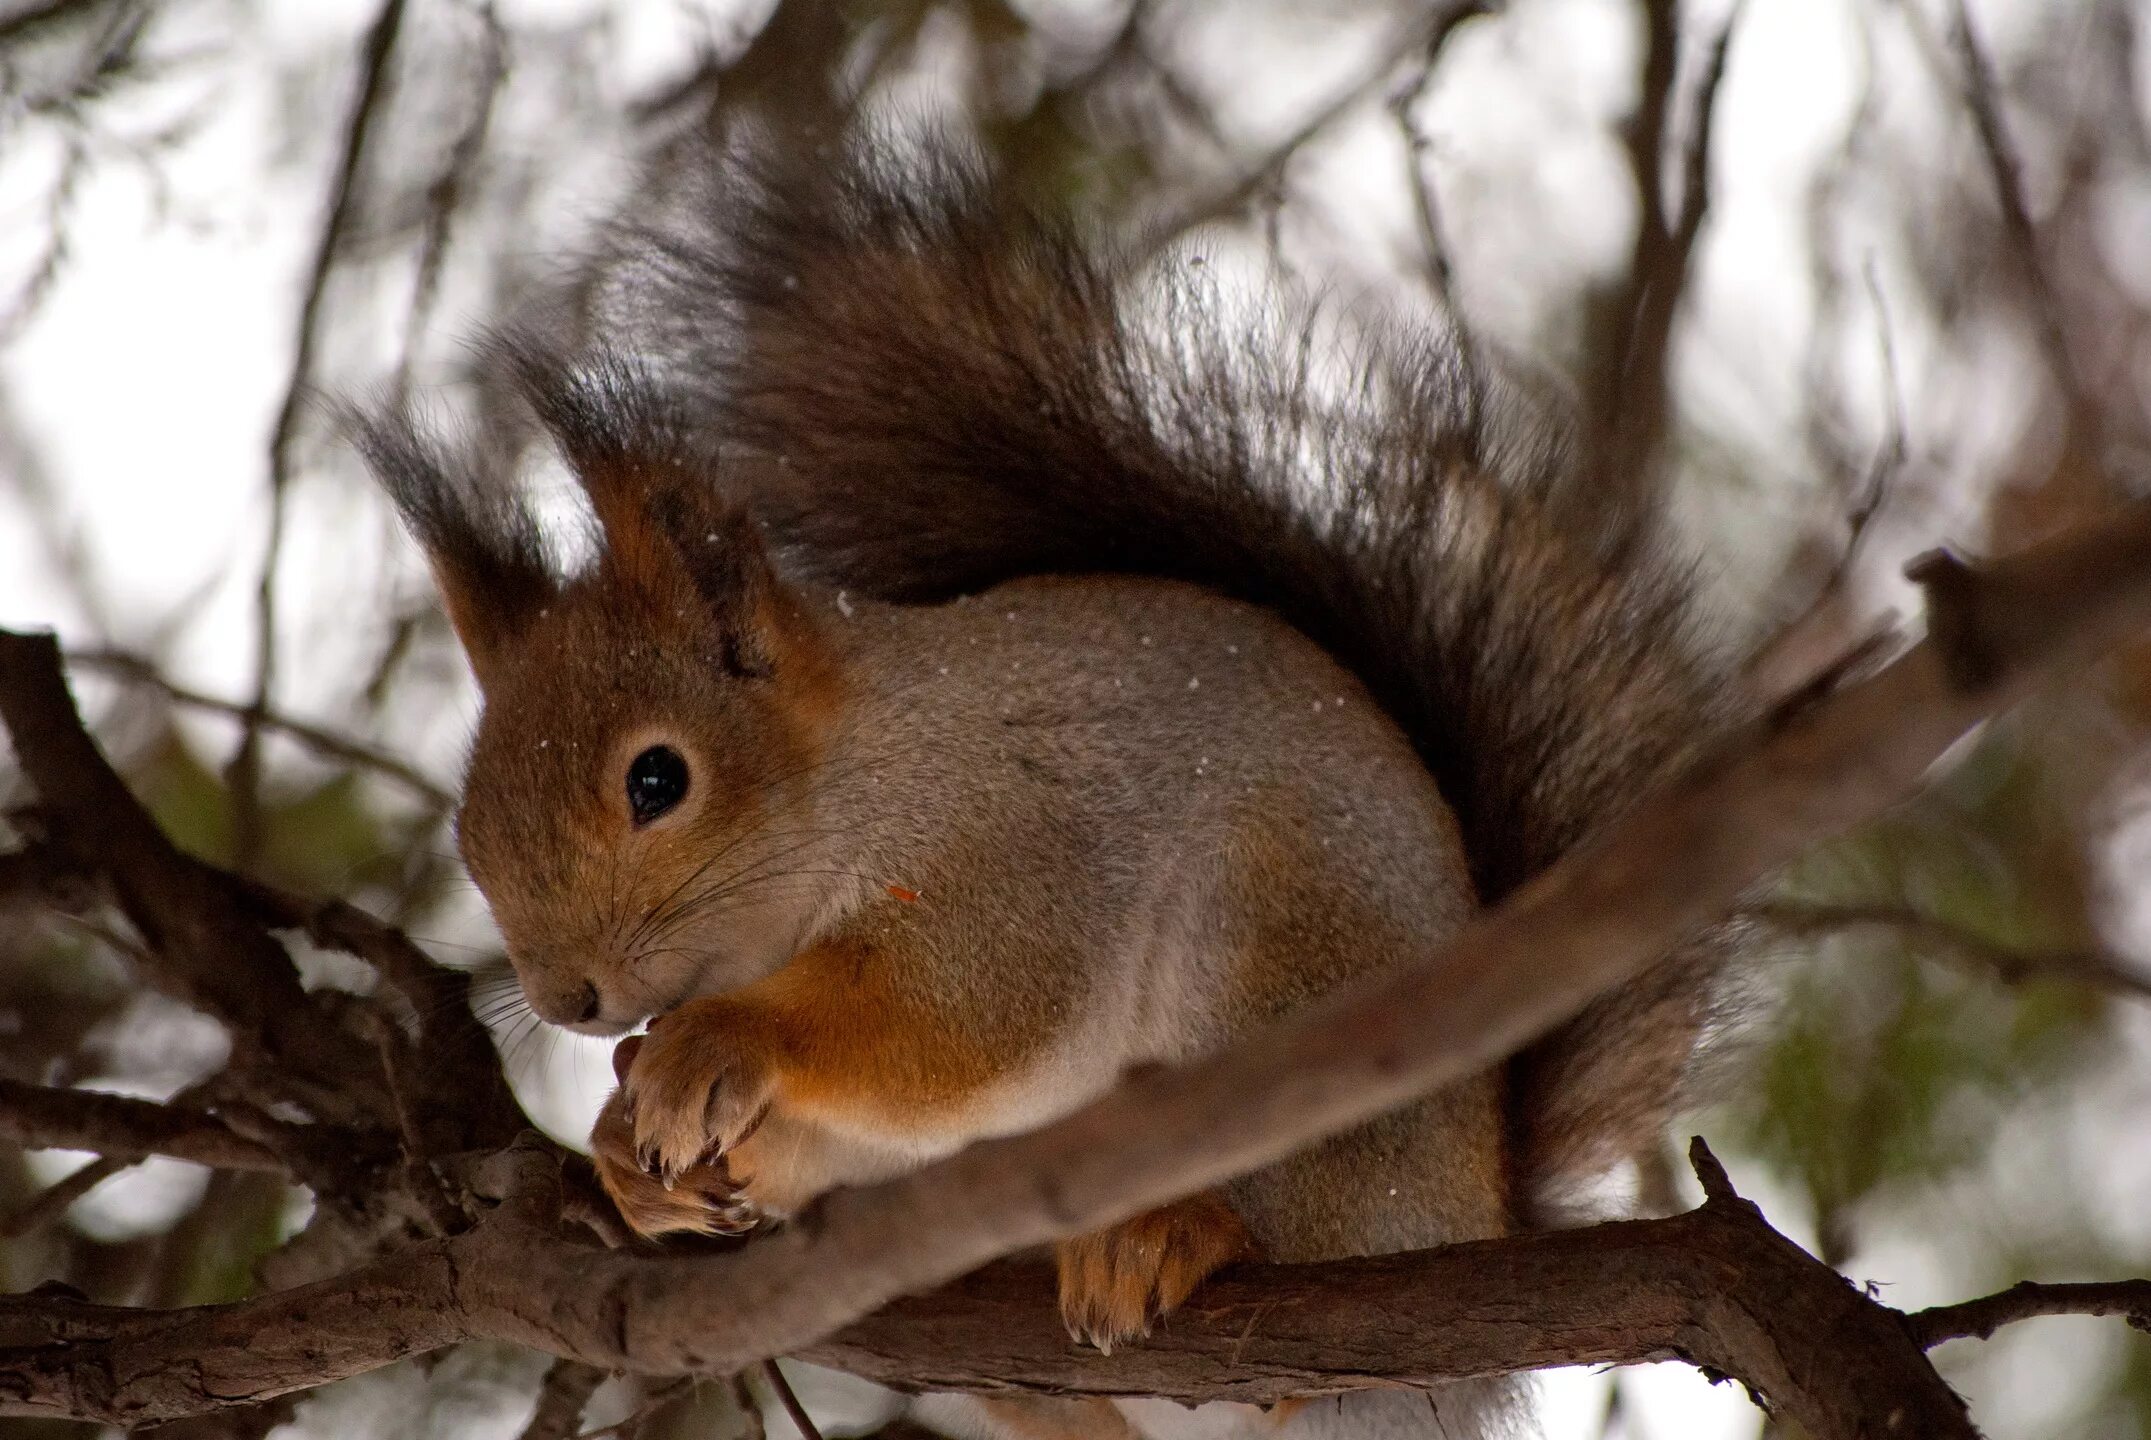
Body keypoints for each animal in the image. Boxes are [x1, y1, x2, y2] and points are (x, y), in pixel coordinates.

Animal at [352, 129, 1729, 1429]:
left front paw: (719, 1043)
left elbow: (960, 1013)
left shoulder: (1022, 839)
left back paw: (1176, 1236)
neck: (866, 771)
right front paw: (625, 1155)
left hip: (1289, 983)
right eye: (469, 830)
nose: (568, 999)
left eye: (656, 782)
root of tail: (1473, 1220)